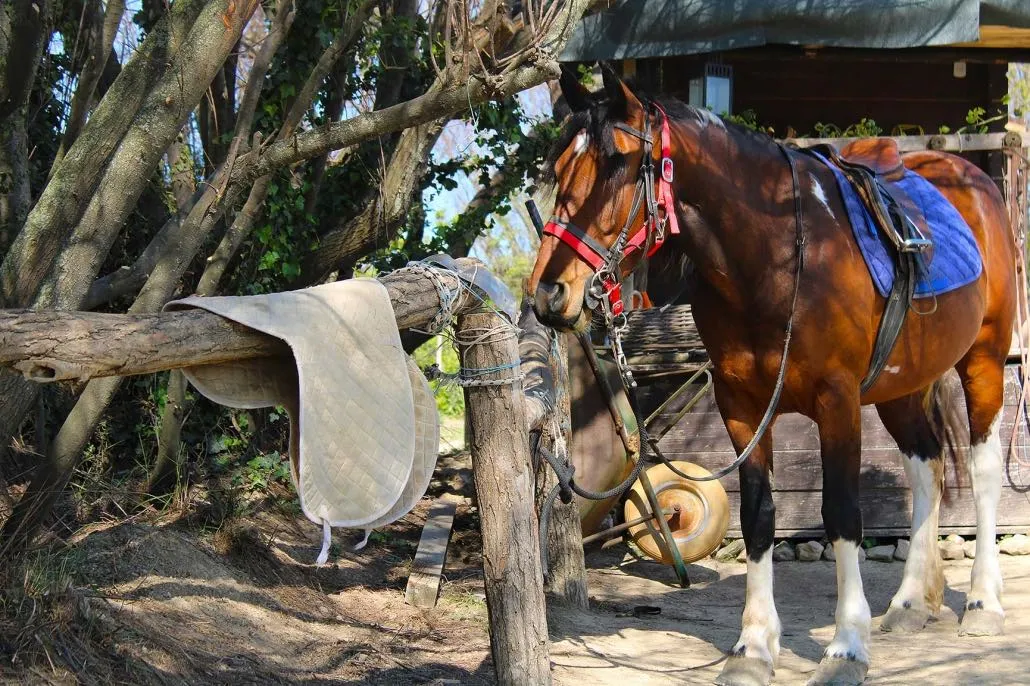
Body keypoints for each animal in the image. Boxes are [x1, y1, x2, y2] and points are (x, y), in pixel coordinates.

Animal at [528, 67, 1016, 685]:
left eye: (618, 161)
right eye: (560, 166)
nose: (548, 293)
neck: (776, 259)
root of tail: (973, 177)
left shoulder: (837, 401)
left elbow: (842, 514)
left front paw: (845, 649)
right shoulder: (741, 405)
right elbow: (758, 518)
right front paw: (754, 647)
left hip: (984, 359)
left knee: (982, 472)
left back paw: (983, 605)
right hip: (901, 387)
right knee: (925, 466)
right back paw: (910, 604)